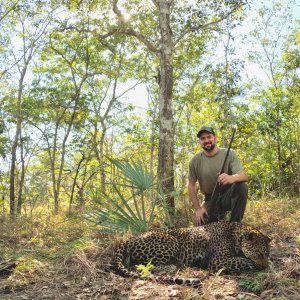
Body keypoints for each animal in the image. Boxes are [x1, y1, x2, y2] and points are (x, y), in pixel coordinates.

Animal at [111, 220, 270, 284]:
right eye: (259, 253)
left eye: (266, 254)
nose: (264, 267)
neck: (235, 234)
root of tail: (130, 238)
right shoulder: (218, 260)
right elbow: (242, 260)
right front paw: (253, 264)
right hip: (171, 242)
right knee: (144, 266)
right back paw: (174, 265)